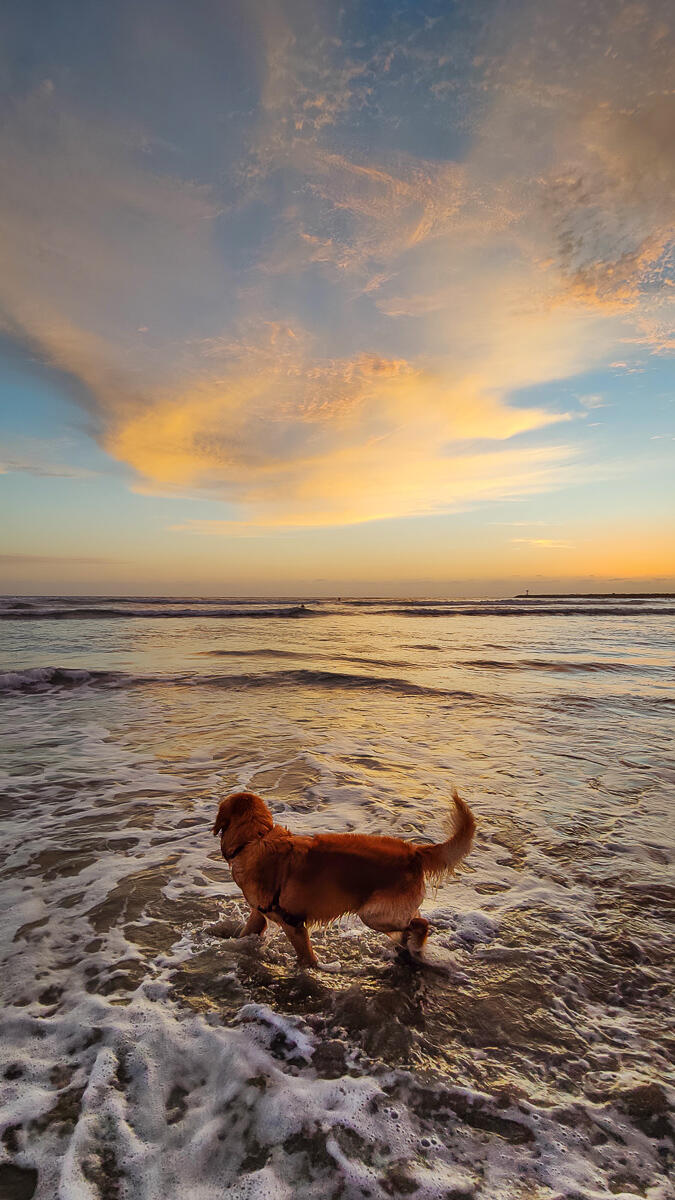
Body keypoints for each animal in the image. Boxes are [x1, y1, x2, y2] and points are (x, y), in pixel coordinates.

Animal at [210, 787, 473, 964]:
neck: (254, 840)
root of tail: (414, 851)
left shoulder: (293, 924)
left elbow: (306, 958)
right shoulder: (259, 914)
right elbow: (245, 933)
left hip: (373, 913)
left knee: (420, 924)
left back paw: (416, 947)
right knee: (413, 921)